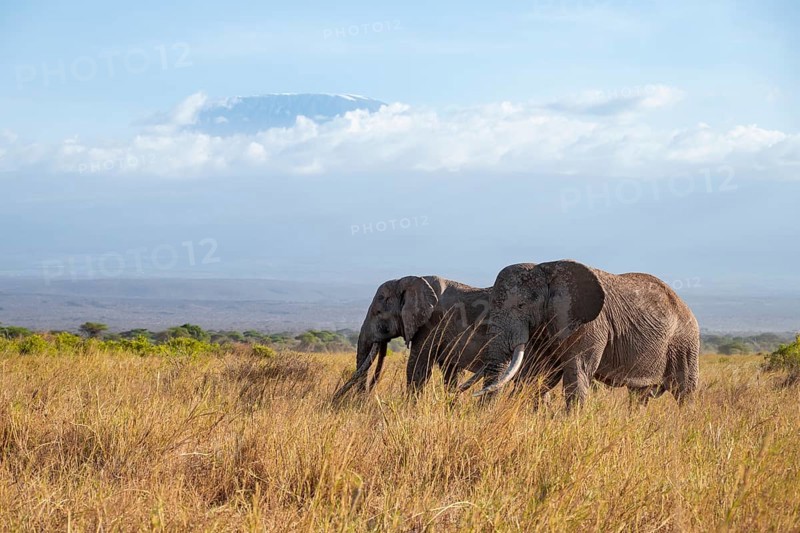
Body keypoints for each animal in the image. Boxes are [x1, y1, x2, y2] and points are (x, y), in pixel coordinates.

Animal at [460, 260, 699, 409]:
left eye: (520, 306)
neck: (545, 268)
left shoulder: (590, 326)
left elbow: (577, 372)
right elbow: (537, 376)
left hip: (685, 344)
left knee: (685, 392)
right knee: (639, 395)